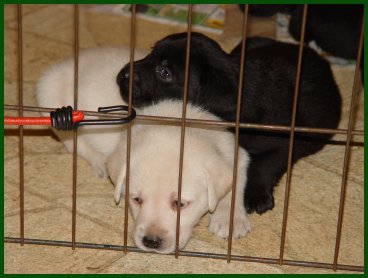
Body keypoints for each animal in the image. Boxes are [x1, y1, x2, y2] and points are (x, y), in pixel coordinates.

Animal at [36, 46, 252, 253]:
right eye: (137, 199)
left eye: (180, 204)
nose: (152, 241)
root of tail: (67, 62)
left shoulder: (233, 149)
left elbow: (236, 179)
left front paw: (229, 218)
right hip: (52, 100)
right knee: (74, 143)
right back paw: (99, 161)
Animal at [116, 33, 340, 215]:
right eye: (151, 52)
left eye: (164, 72)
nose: (121, 75)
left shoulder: (282, 140)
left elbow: (265, 166)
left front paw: (257, 195)